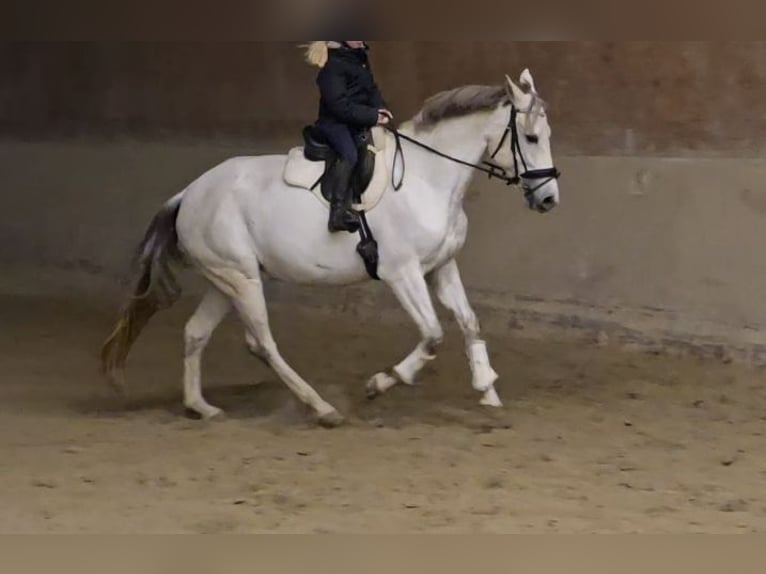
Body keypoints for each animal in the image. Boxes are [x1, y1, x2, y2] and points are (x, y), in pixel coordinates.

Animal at [100, 68, 560, 428]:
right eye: (530, 137)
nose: (548, 200)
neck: (427, 178)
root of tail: (189, 193)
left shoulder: (441, 267)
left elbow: (469, 323)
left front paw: (487, 390)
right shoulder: (401, 272)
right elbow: (432, 335)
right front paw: (381, 383)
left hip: (226, 278)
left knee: (196, 332)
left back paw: (202, 407)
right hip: (242, 279)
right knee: (261, 343)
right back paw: (322, 408)